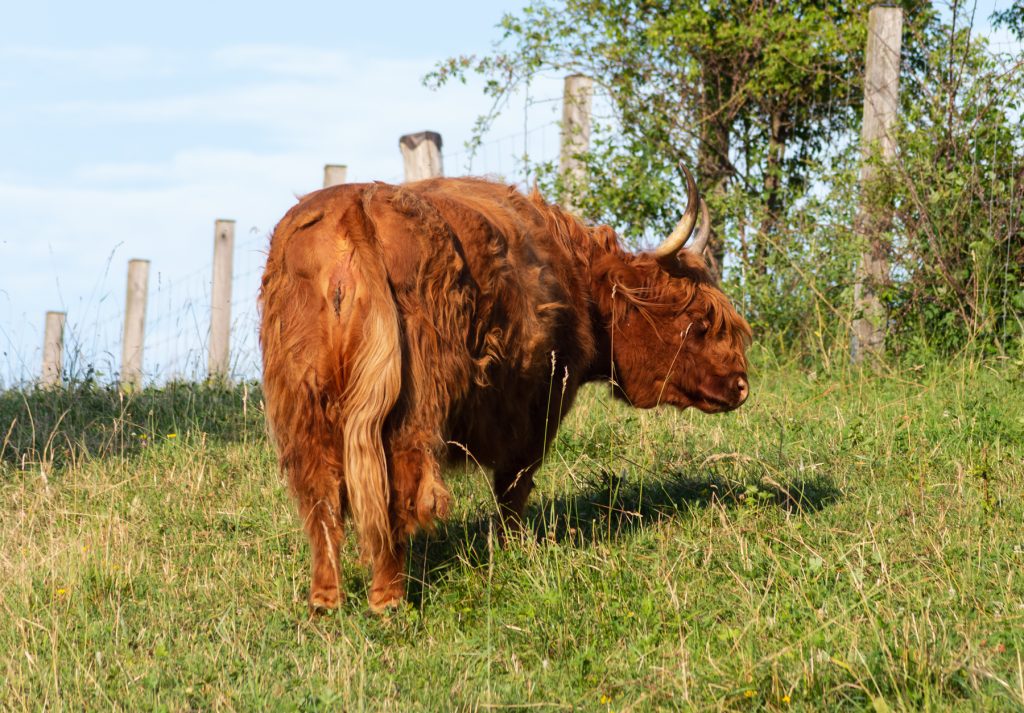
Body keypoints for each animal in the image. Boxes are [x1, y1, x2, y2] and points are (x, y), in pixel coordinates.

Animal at [260, 165, 749, 614]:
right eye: (700, 322)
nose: (742, 385)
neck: (574, 276)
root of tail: (355, 207)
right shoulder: (539, 407)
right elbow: (514, 485)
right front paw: (513, 550)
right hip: (413, 400)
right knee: (397, 481)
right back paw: (389, 598)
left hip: (304, 401)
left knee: (321, 491)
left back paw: (326, 600)